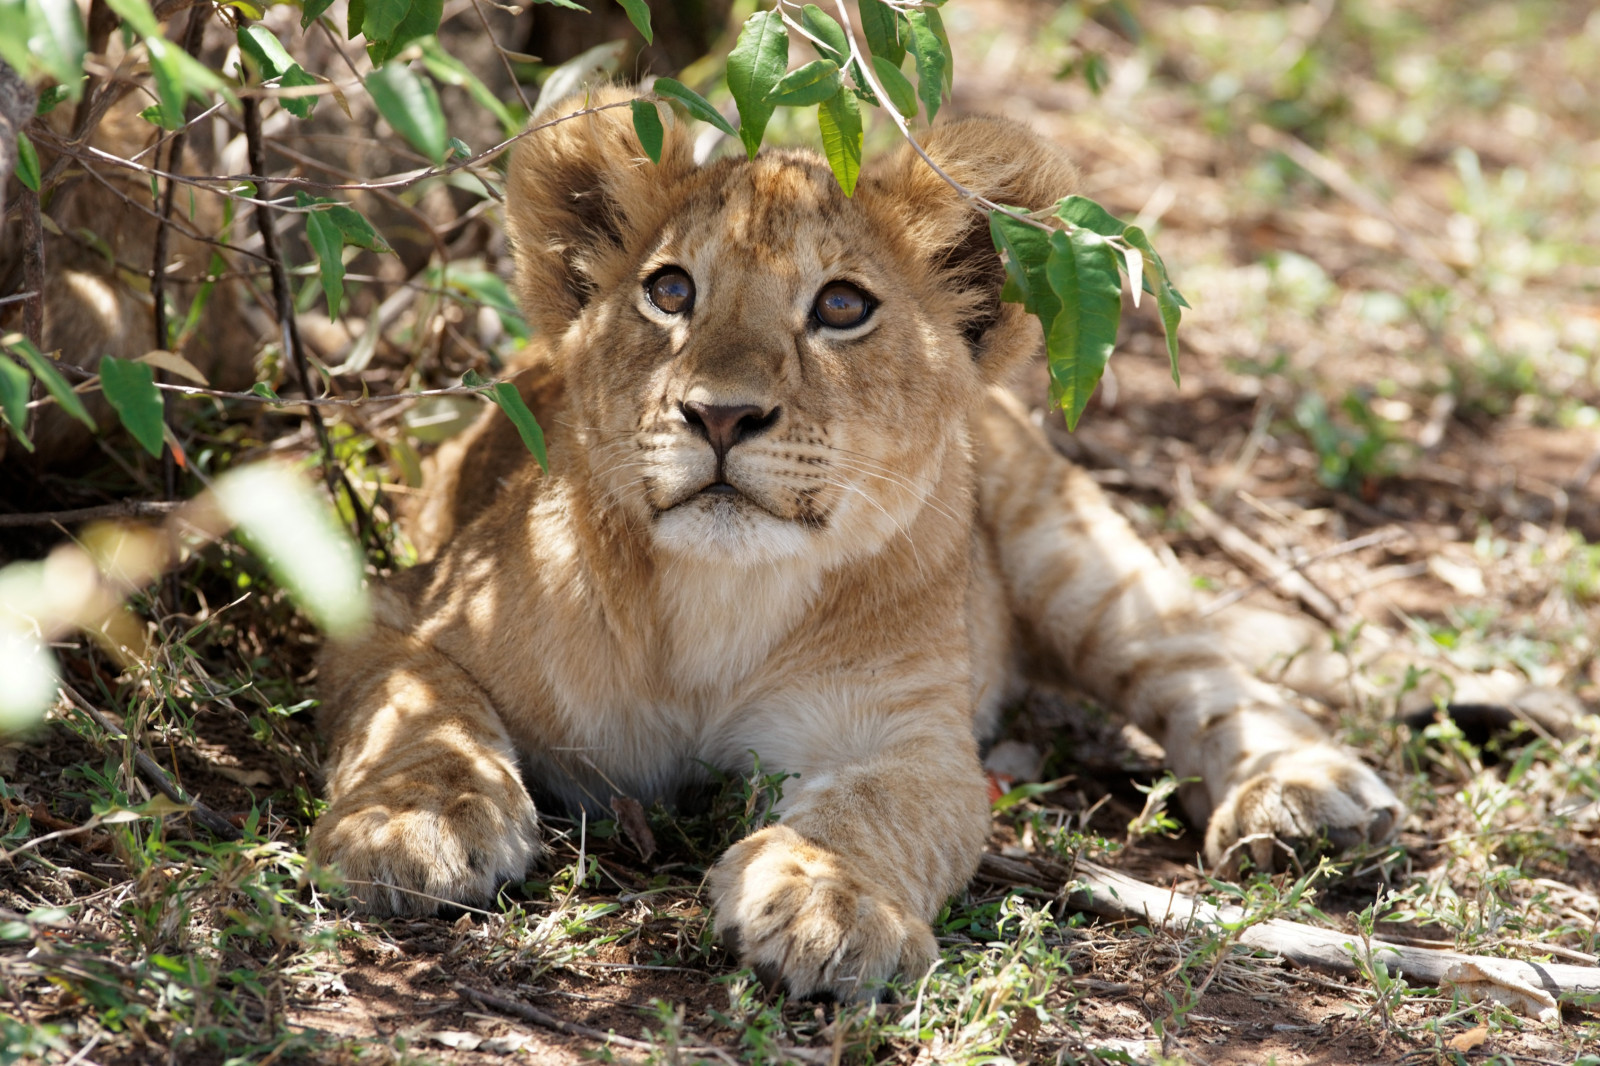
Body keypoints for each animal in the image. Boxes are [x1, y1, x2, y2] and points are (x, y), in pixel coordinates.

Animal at [309, 88, 1403, 1000]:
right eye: (670, 292)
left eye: (841, 306)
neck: (714, 605)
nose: (720, 414)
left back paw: (1308, 796)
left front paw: (827, 898)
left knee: (1197, 668)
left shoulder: (915, 740)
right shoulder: (395, 601)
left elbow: (875, 811)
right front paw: (412, 823)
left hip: (1069, 550)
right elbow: (420, 710)